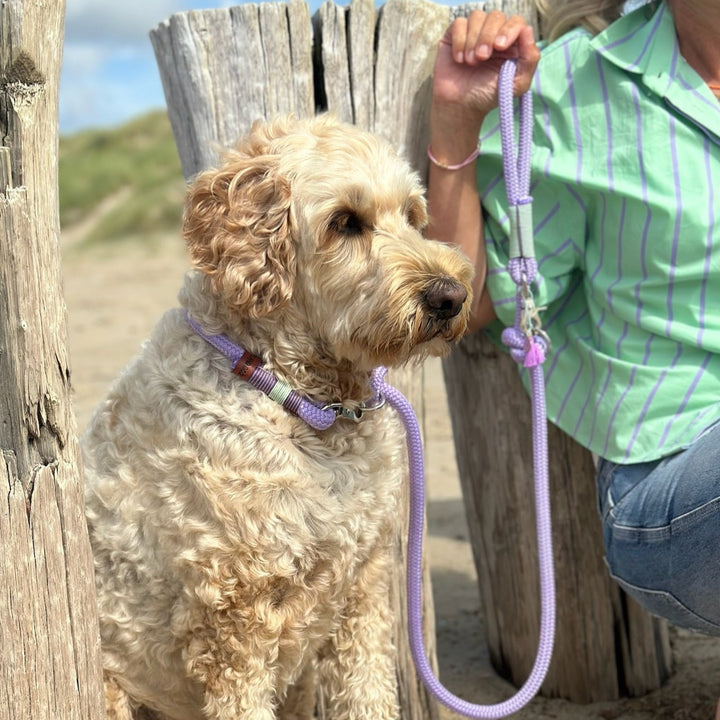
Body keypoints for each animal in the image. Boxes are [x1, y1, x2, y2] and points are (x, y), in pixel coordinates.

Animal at [83, 114, 472, 720]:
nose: (450, 296)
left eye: (412, 215)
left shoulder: (361, 589)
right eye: (345, 222)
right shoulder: (235, 627)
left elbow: (367, 691)